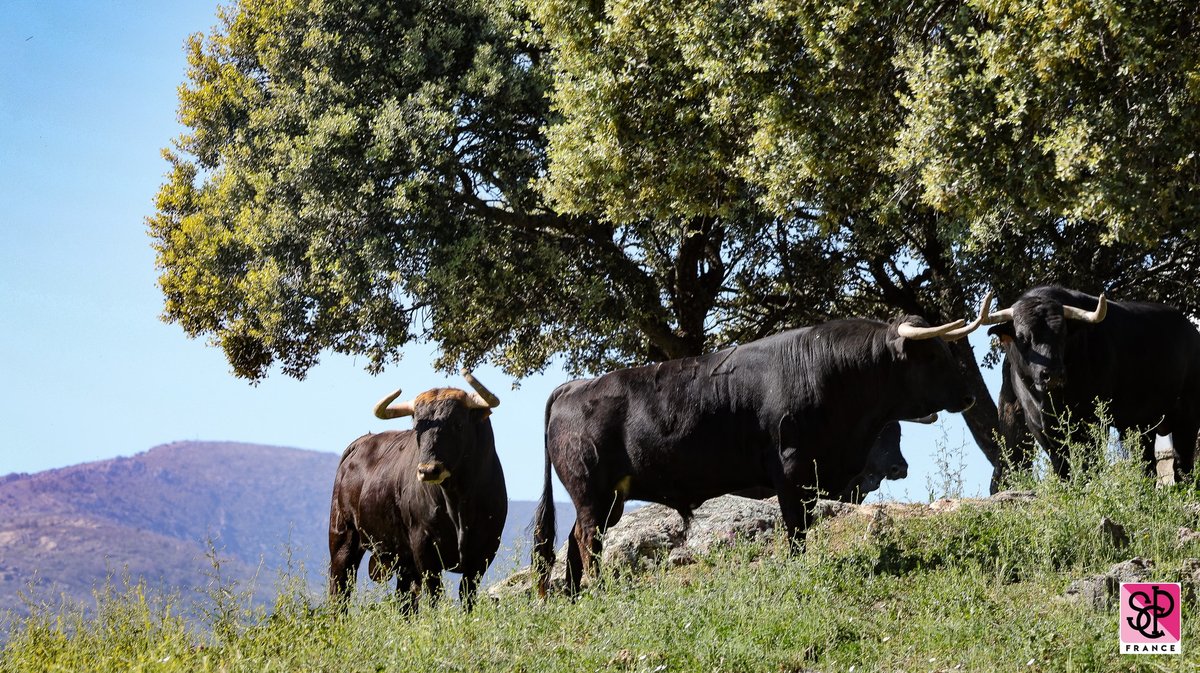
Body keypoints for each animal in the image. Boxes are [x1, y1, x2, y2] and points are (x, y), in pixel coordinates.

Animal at [535, 311, 984, 595]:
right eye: (931, 354)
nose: (968, 396)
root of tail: (574, 386)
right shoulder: (792, 471)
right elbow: (796, 530)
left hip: (606, 499)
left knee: (574, 543)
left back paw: (574, 597)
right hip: (594, 494)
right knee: (587, 542)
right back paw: (598, 590)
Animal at [984, 285, 1200, 479]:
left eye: (1062, 334)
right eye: (1022, 337)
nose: (1052, 374)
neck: (1048, 400)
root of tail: (1191, 331)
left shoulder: (1093, 420)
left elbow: (1091, 463)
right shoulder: (1039, 428)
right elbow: (1063, 468)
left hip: (1187, 414)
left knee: (1182, 464)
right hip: (1140, 425)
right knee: (1147, 464)